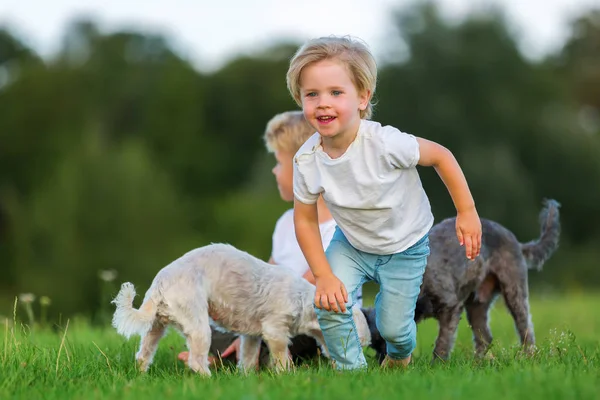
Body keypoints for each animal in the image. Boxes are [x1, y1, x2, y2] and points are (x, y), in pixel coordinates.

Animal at [110, 242, 368, 376]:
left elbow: (248, 357)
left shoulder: (252, 335)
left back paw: (140, 375)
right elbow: (281, 355)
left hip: (155, 326)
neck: (302, 299)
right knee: (196, 360)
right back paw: (208, 379)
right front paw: (285, 375)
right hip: (198, 324)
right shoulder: (275, 331)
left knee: (143, 354)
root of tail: (160, 285)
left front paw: (246, 377)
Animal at [360, 199, 564, 362]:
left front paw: (437, 364)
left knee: (525, 326)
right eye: (375, 343)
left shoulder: (451, 307)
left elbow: (443, 340)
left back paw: (527, 355)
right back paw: (479, 362)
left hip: (514, 291)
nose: (381, 362)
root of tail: (517, 242)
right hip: (476, 306)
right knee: (485, 337)